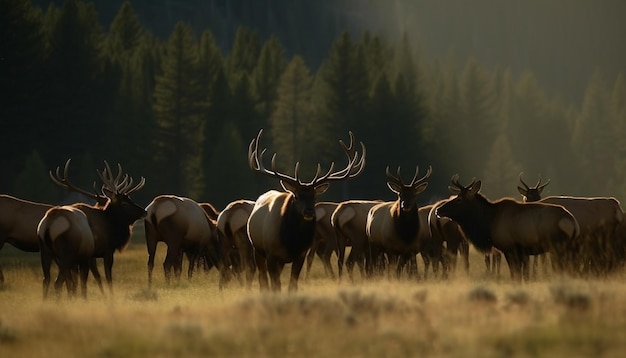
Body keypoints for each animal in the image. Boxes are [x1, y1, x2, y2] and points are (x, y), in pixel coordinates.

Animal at [38, 161, 145, 298]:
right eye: (124, 203)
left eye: (130, 199)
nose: (144, 211)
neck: (111, 227)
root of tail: (49, 224)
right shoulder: (106, 250)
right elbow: (107, 277)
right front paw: (110, 297)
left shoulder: (90, 255)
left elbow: (92, 277)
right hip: (66, 254)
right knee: (58, 282)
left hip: (47, 252)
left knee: (47, 279)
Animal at [244, 129, 364, 290]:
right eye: (296, 196)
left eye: (314, 197)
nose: (309, 212)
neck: (291, 241)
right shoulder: (271, 254)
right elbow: (275, 285)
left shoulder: (300, 255)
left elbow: (292, 285)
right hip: (257, 250)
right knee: (262, 278)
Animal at [434, 175, 576, 282]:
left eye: (459, 199)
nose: (438, 209)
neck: (488, 223)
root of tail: (572, 222)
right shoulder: (521, 252)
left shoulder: (510, 248)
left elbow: (515, 276)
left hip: (558, 247)